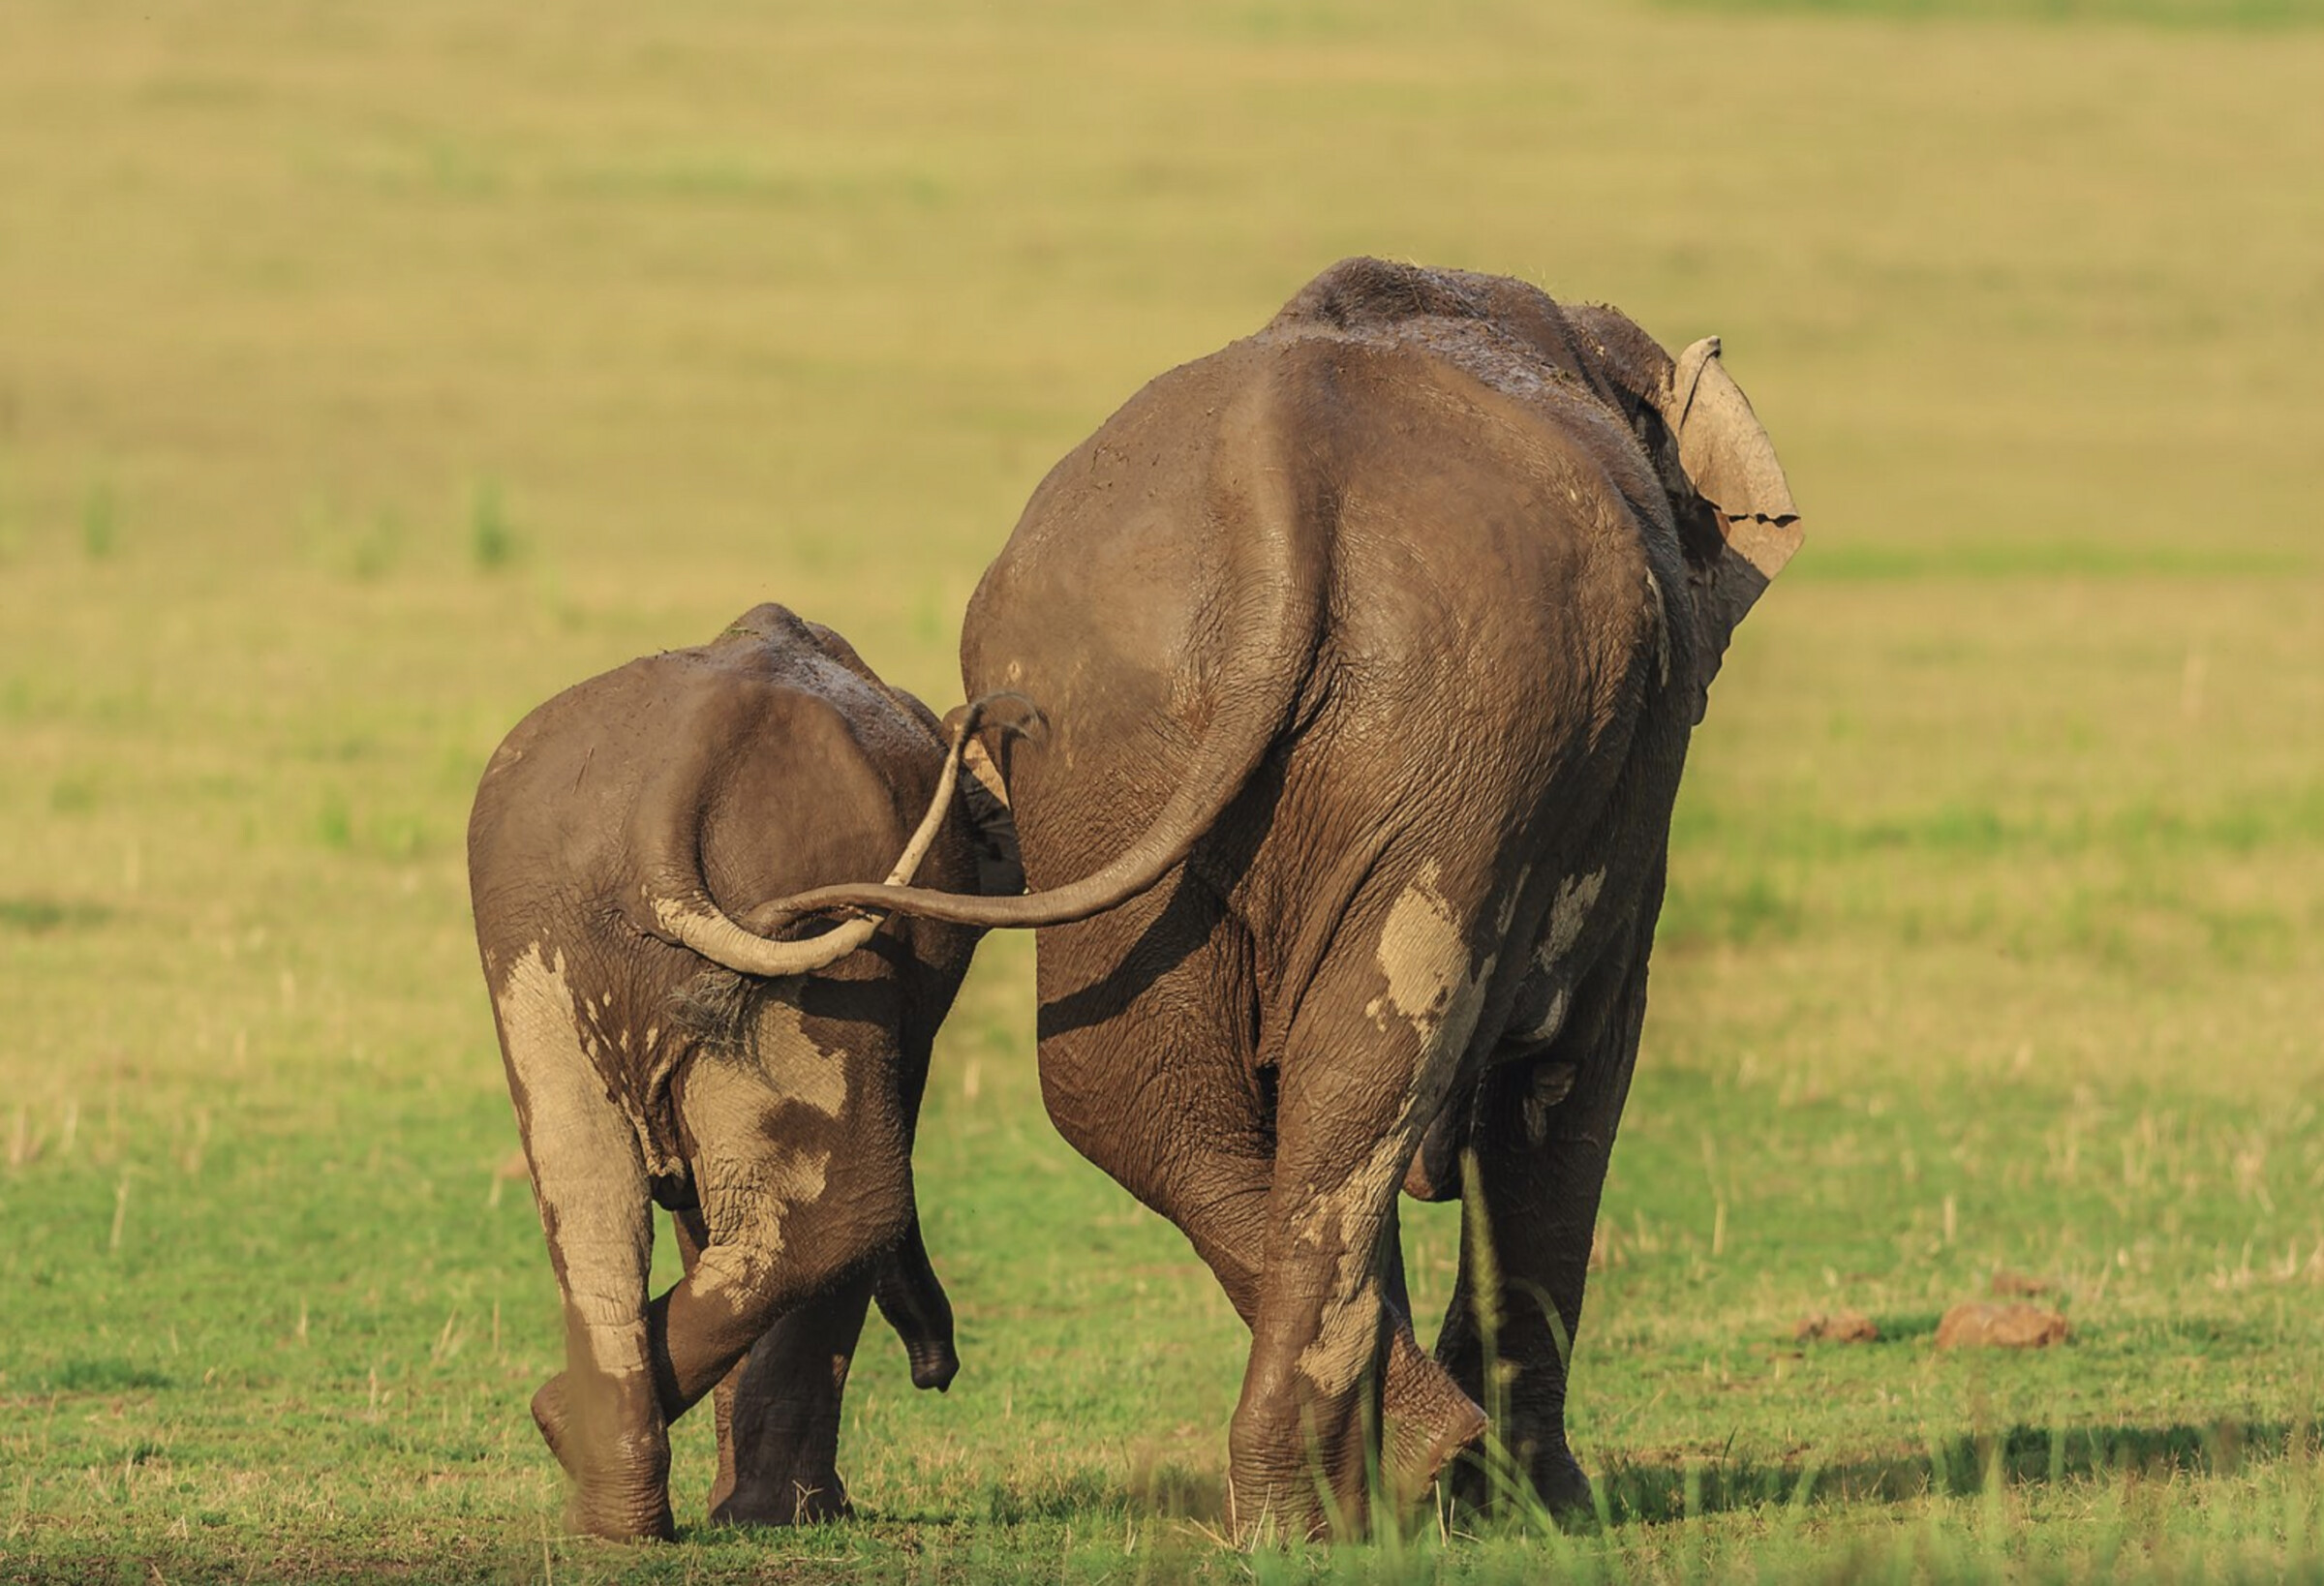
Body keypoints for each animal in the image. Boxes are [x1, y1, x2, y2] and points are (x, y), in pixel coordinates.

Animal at [462, 599, 1018, 1535]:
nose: (935, 1369)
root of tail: (678, 775)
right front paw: (787, 1519)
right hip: (816, 927)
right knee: (846, 1211)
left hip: (534, 920)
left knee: (591, 1193)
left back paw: (603, 1506)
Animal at [771, 259, 1803, 1535]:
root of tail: (1275, 487)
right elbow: (1573, 1068)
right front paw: (1548, 1512)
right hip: (1455, 725)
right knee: (1370, 1065)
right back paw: (1399, 1475)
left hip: (1110, 741)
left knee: (1141, 1098)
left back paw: (1320, 1505)